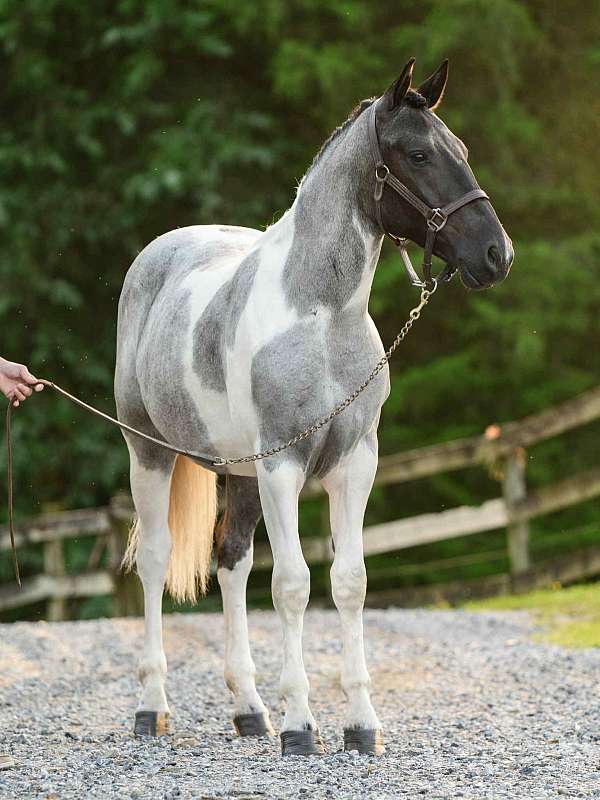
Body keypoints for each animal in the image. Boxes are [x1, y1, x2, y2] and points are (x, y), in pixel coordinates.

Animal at [114, 57, 513, 756]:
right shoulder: (285, 469)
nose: (497, 255)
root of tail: (156, 256)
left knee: (231, 562)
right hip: (151, 453)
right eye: (417, 154)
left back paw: (250, 711)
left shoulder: (354, 464)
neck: (321, 316)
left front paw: (361, 725)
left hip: (240, 473)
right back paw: (151, 709)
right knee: (158, 559)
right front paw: (302, 725)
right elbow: (293, 585)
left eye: (460, 150)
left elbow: (347, 582)